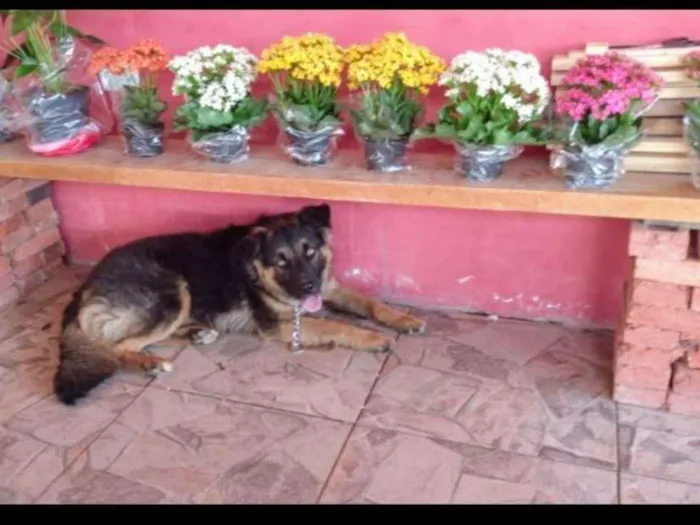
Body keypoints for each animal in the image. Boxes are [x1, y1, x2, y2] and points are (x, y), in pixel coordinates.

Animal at [53, 203, 426, 404]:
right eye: (281, 261)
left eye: (309, 251)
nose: (309, 287)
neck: (257, 268)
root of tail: (87, 283)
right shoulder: (281, 324)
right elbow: (336, 323)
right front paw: (373, 337)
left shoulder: (329, 288)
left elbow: (372, 304)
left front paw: (402, 319)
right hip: (172, 291)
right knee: (117, 346)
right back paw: (149, 363)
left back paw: (198, 333)